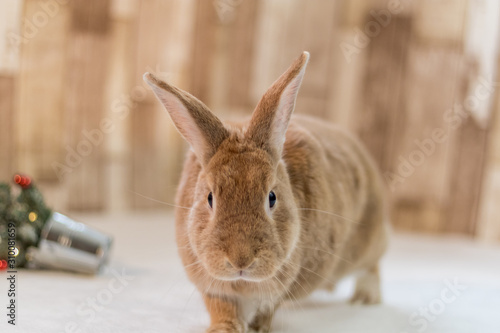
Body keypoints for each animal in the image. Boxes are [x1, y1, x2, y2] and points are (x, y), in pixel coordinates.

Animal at [143, 52, 388, 332]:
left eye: (272, 198)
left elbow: (265, 310)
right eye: (210, 198)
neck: (242, 282)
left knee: (373, 264)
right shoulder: (213, 286)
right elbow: (221, 308)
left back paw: (365, 297)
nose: (241, 261)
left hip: (366, 241)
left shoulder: (274, 291)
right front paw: (224, 329)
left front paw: (256, 329)